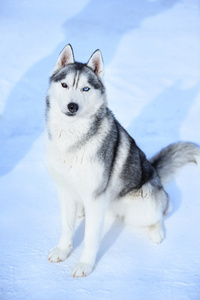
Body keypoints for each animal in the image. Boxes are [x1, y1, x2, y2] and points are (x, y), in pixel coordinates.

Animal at [45, 44, 200, 276]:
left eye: (85, 89)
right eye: (64, 85)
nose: (72, 106)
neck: (73, 138)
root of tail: (154, 171)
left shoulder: (95, 198)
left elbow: (91, 238)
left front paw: (85, 265)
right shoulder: (64, 190)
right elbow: (67, 226)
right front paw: (63, 251)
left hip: (144, 203)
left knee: (165, 208)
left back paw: (156, 231)